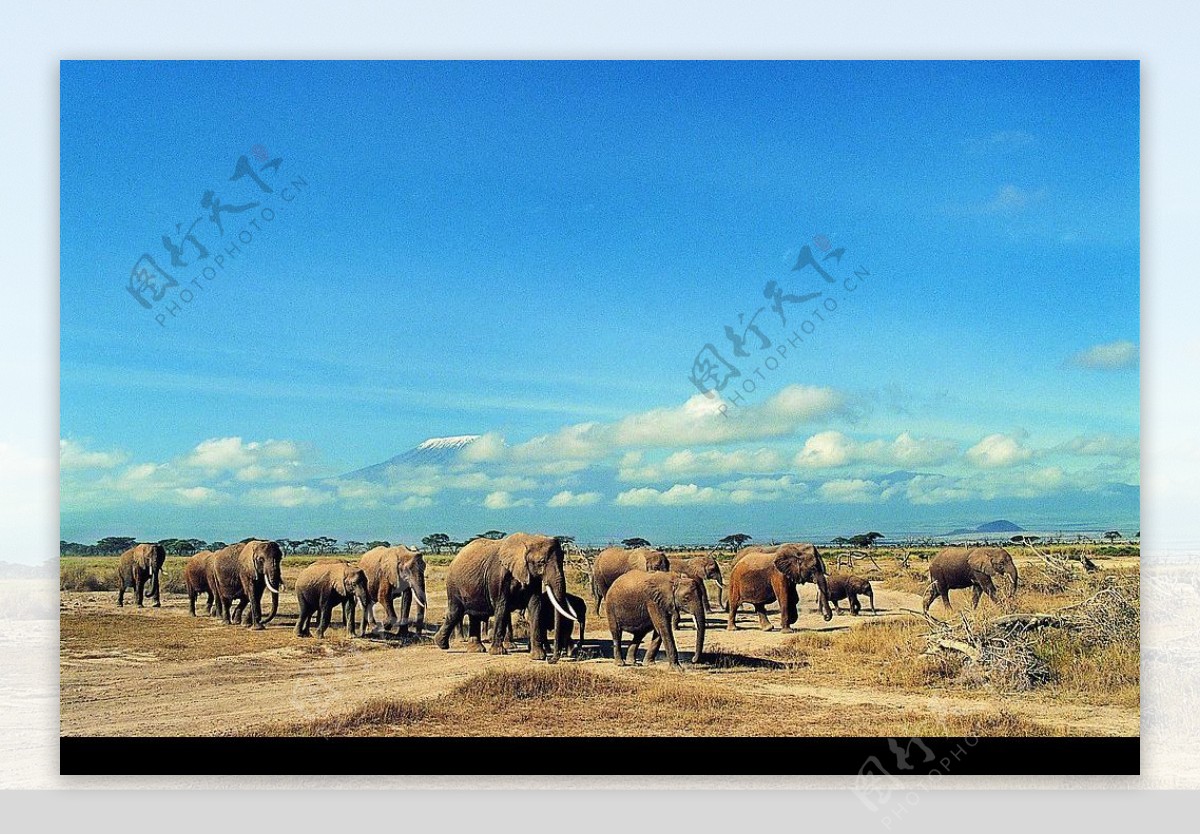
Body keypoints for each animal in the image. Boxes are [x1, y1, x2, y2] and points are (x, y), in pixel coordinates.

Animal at [434, 532, 578, 662]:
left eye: (562, 561)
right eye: (541, 562)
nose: (552, 659)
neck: (528, 539)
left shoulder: (531, 576)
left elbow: (535, 606)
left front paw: (538, 657)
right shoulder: (498, 576)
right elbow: (502, 606)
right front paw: (497, 652)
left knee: (474, 615)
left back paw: (476, 649)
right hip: (454, 585)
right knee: (456, 611)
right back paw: (441, 643)